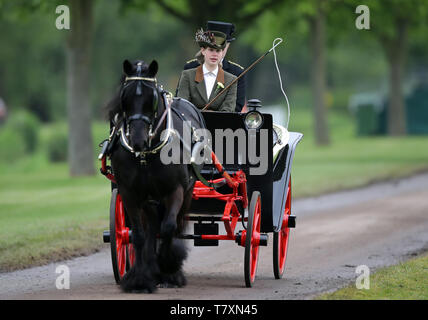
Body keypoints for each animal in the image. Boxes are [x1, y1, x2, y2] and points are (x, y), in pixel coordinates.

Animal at [105, 58, 202, 292]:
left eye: (152, 99)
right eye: (125, 97)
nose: (138, 140)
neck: (146, 154)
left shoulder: (175, 190)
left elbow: (168, 227)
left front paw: (169, 269)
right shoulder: (129, 193)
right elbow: (139, 235)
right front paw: (140, 279)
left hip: (185, 192)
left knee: (173, 225)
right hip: (149, 200)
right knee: (151, 227)